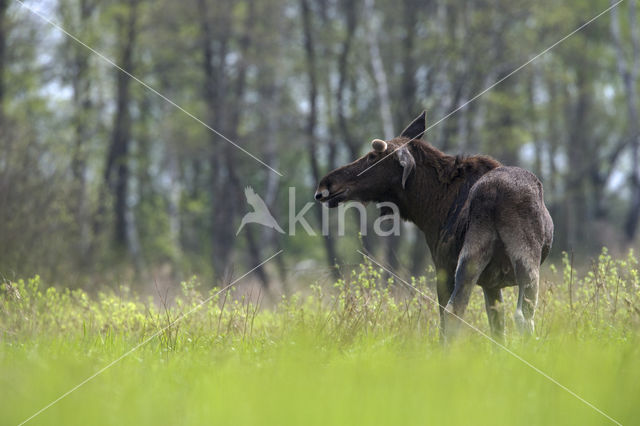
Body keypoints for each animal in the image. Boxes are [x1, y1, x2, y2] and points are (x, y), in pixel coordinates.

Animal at [318, 112, 552, 340]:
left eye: (372, 157)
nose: (325, 185)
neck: (430, 207)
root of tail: (494, 195)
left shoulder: (442, 266)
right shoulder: (491, 284)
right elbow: (497, 330)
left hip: (478, 258)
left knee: (460, 314)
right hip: (510, 259)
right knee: (511, 316)